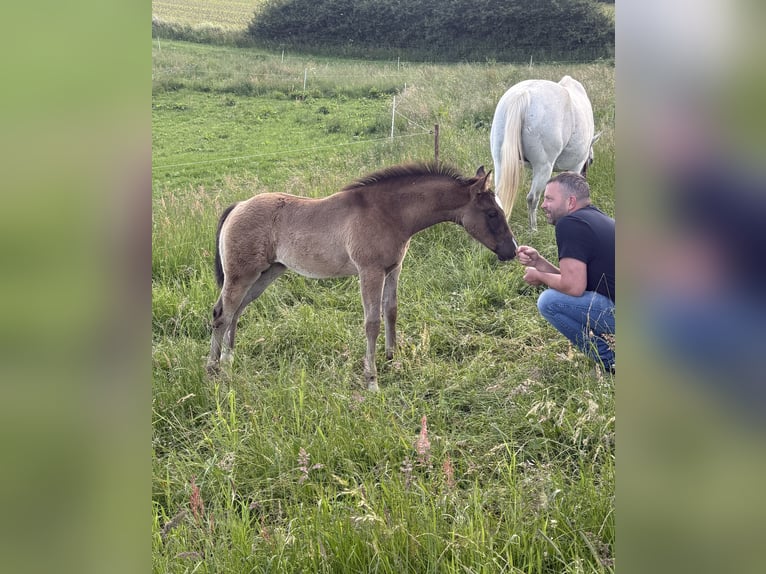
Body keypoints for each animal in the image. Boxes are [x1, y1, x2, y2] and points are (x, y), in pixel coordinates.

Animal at [207, 162, 518, 391]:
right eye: (492, 213)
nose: (512, 250)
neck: (388, 212)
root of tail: (238, 205)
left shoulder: (393, 269)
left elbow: (391, 311)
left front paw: (393, 359)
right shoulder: (370, 272)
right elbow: (372, 323)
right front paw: (372, 380)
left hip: (266, 274)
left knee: (236, 312)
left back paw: (229, 359)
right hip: (241, 275)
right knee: (221, 313)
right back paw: (213, 369)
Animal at [490, 75, 601, 231]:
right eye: (591, 161)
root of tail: (523, 95)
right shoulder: (576, 166)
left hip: (500, 162)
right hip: (544, 166)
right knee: (532, 198)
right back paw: (533, 229)